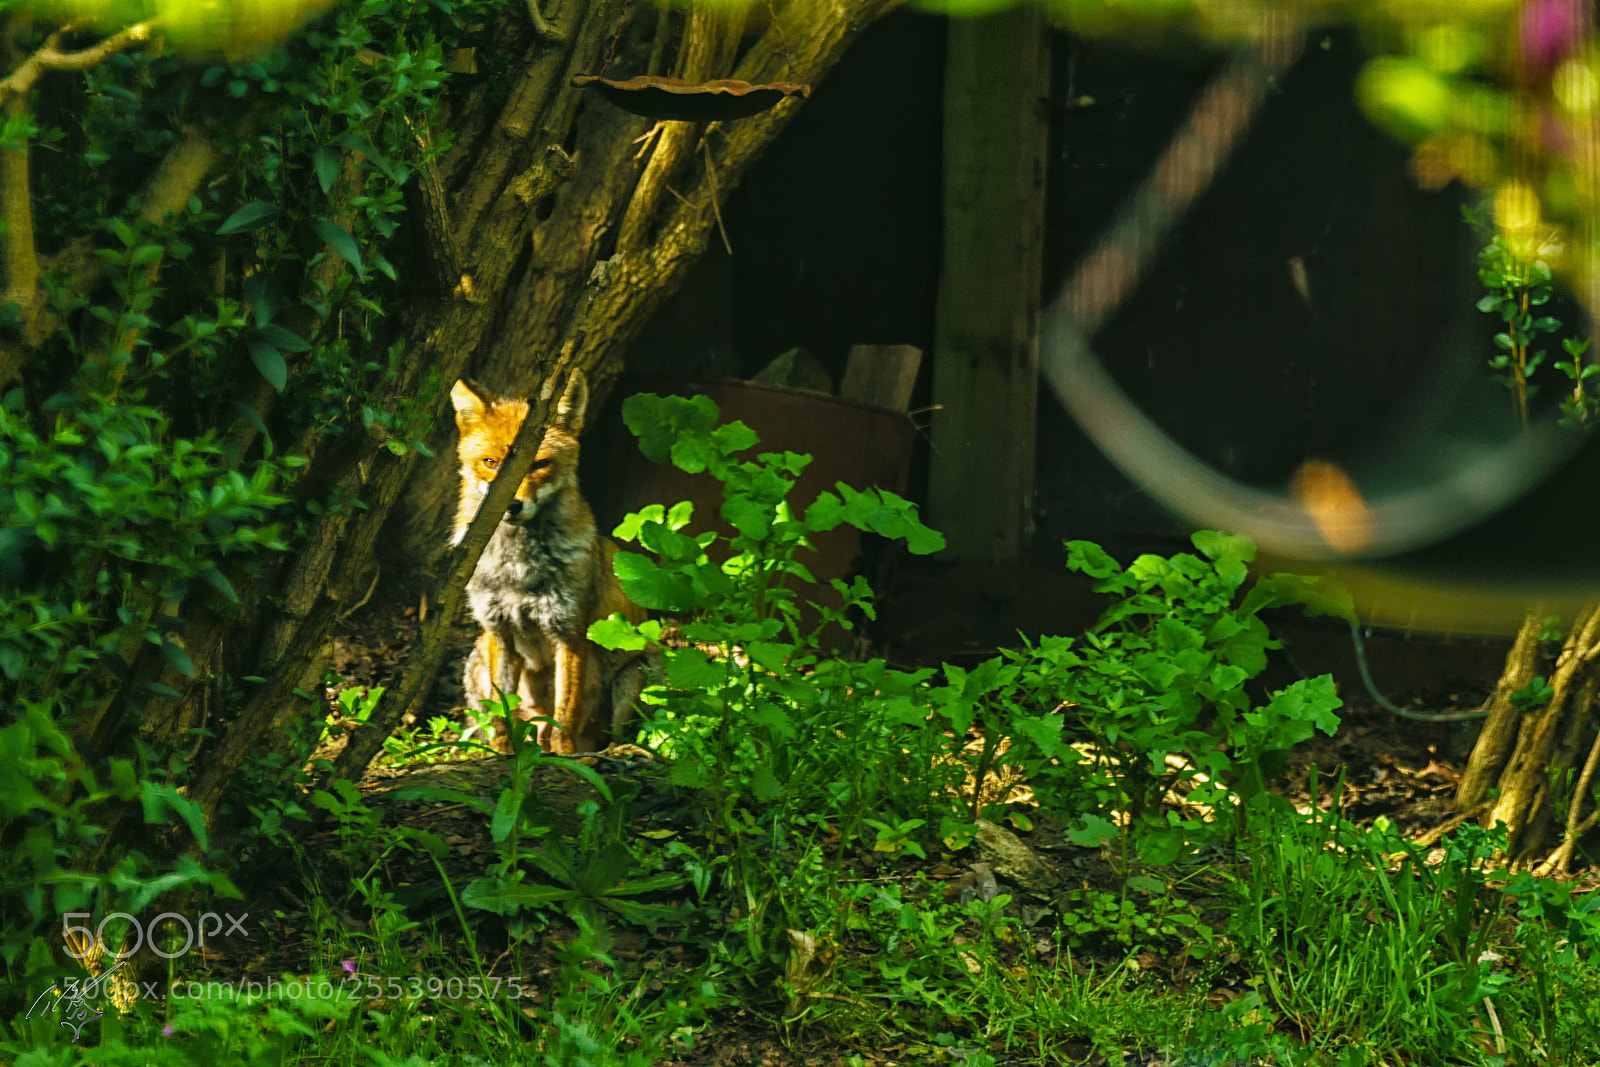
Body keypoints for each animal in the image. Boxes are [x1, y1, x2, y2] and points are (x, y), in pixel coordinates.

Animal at [451, 372, 653, 754]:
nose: (512, 505)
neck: (517, 572)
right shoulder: (499, 630)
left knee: (615, 734)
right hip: (474, 664)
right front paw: (505, 754)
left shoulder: (569, 630)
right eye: (490, 462)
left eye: (540, 463)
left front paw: (564, 757)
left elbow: (565, 711)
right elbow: (502, 711)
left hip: (638, 673)